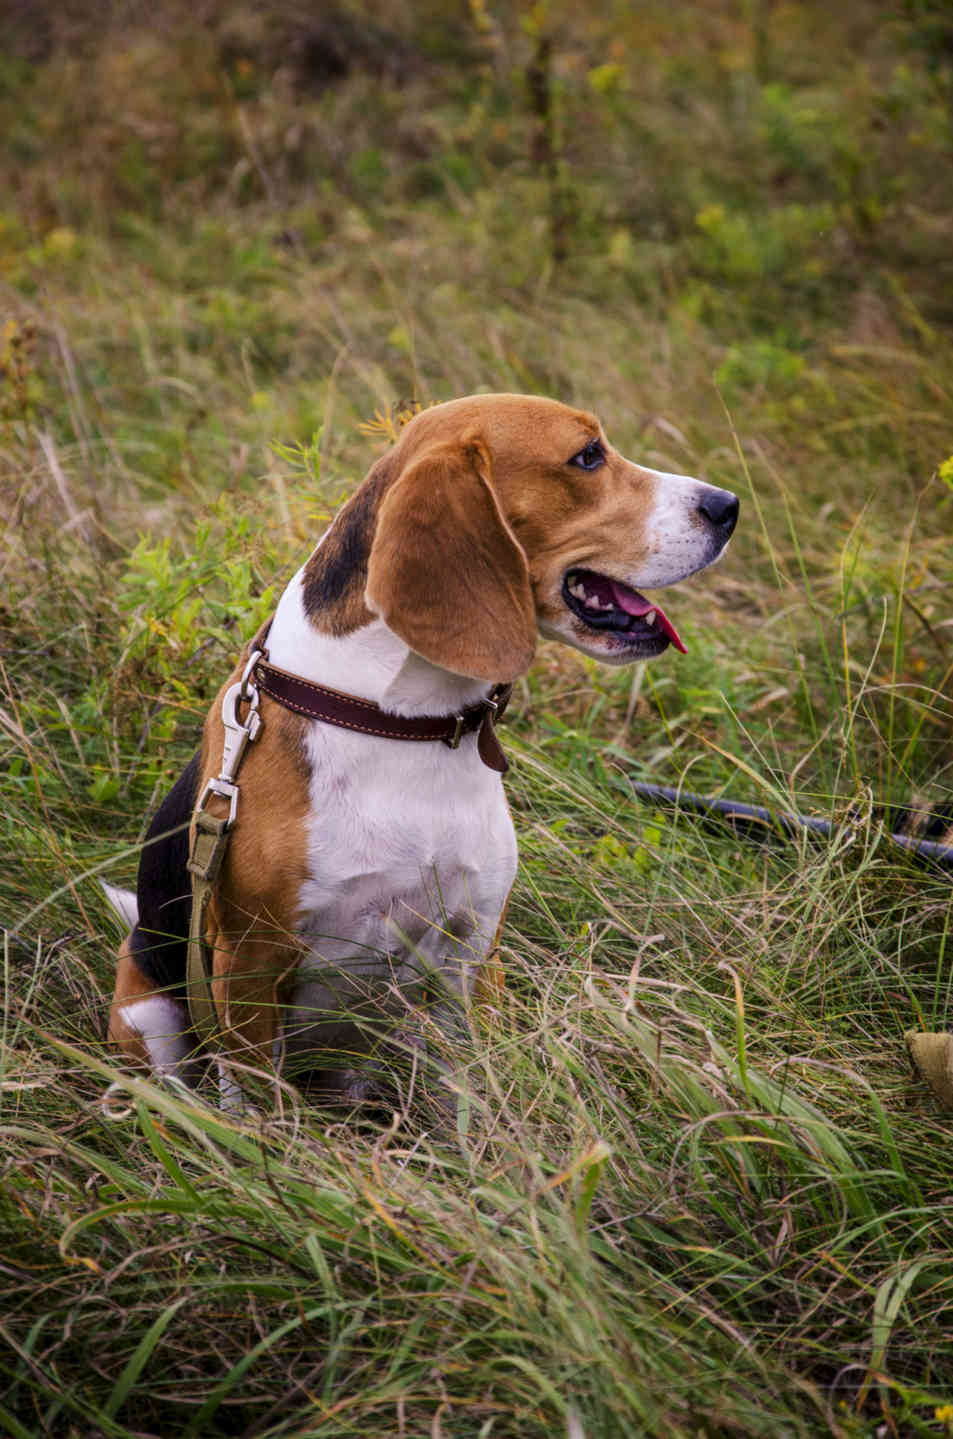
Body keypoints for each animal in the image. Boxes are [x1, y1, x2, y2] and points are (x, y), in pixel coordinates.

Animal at [107, 400, 742, 1105]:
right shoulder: (248, 960)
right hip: (148, 1012)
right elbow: (257, 1100)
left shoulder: (473, 947)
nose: (729, 505)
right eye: (587, 456)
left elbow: (465, 1090)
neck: (403, 723)